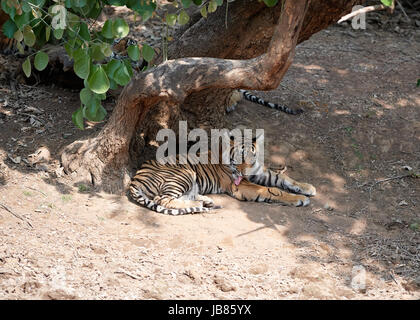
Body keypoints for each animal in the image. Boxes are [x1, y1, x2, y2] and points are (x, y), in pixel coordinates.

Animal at [130, 135, 316, 215]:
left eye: (252, 157)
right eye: (239, 158)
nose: (244, 172)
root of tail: (135, 177)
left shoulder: (259, 171)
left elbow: (283, 178)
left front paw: (308, 188)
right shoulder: (242, 185)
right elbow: (272, 190)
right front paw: (300, 199)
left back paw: (206, 201)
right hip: (183, 174)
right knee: (162, 199)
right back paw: (200, 203)